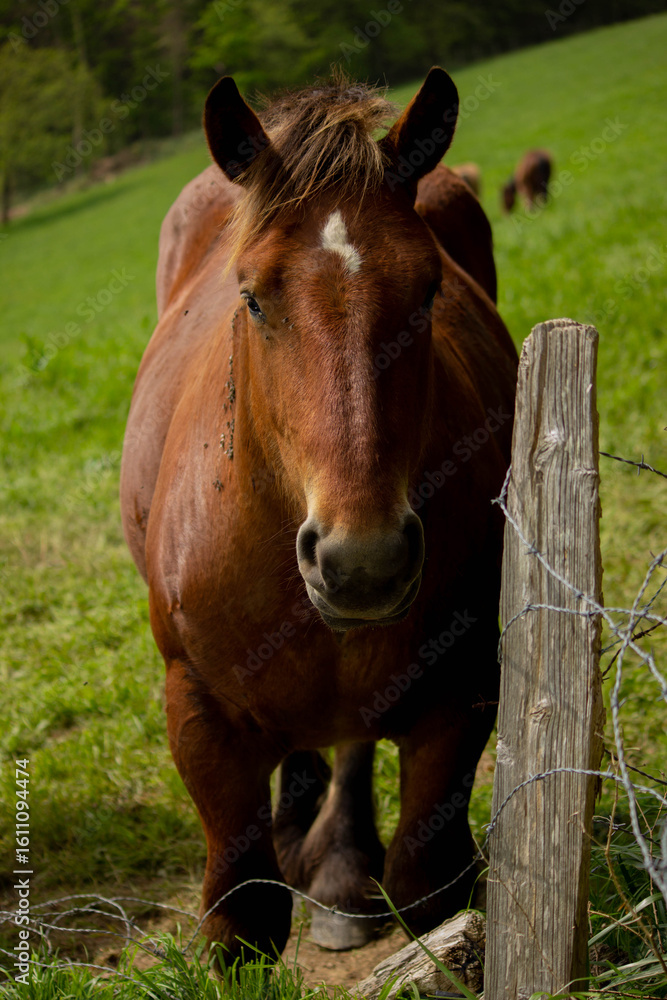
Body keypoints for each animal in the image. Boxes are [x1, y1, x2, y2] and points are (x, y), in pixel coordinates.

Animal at [120, 67, 518, 960]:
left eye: (429, 291)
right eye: (252, 299)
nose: (362, 562)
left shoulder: (459, 695)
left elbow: (430, 885)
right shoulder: (197, 713)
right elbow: (242, 916)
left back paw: (337, 866)